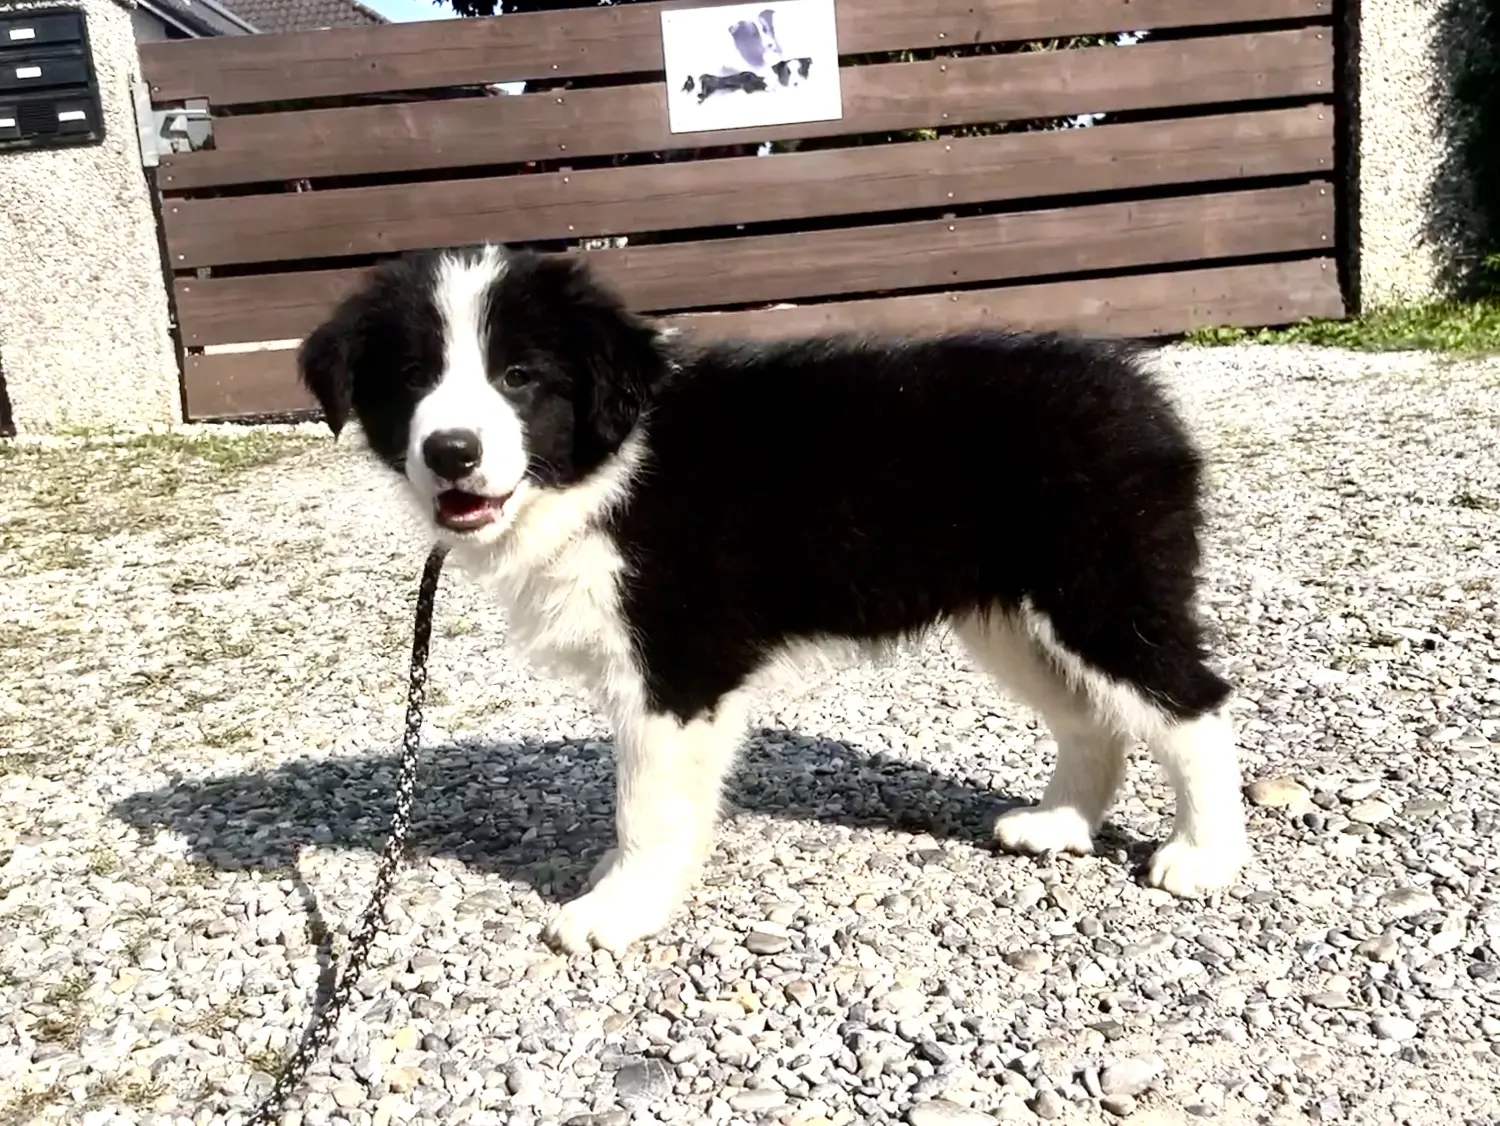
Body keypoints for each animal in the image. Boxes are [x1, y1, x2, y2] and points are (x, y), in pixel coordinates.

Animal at [298, 244, 1248, 953]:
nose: (451, 452)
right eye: (412, 378)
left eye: (521, 376)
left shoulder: (678, 665)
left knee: (1192, 704)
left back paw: (1205, 856)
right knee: (1093, 714)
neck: (609, 464)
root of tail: (1139, 392)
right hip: (1014, 617)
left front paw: (620, 909)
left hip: (1100, 587)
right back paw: (1059, 823)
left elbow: (647, 802)